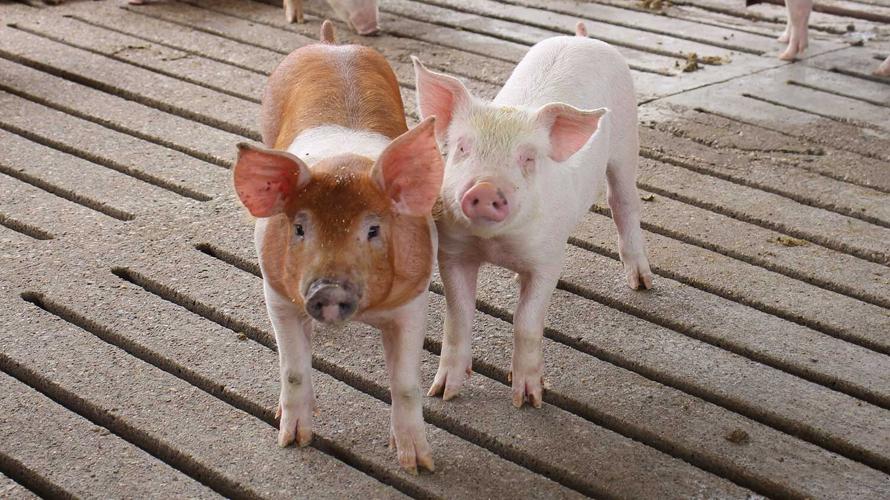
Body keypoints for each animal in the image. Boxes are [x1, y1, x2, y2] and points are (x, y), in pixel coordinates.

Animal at [232, 21, 442, 473]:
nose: (327, 289)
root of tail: (331, 44)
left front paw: (419, 464)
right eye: (298, 228)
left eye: (374, 229)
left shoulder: (413, 299)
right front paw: (293, 441)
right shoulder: (276, 294)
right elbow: (293, 370)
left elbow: (406, 384)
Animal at [412, 27, 653, 408]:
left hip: (627, 144)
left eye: (528, 158)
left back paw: (642, 284)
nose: (486, 187)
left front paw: (528, 400)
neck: (495, 246)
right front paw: (442, 393)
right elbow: (458, 317)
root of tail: (581, 38)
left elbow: (526, 320)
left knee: (624, 203)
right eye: (462, 147)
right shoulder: (452, 252)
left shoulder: (548, 259)